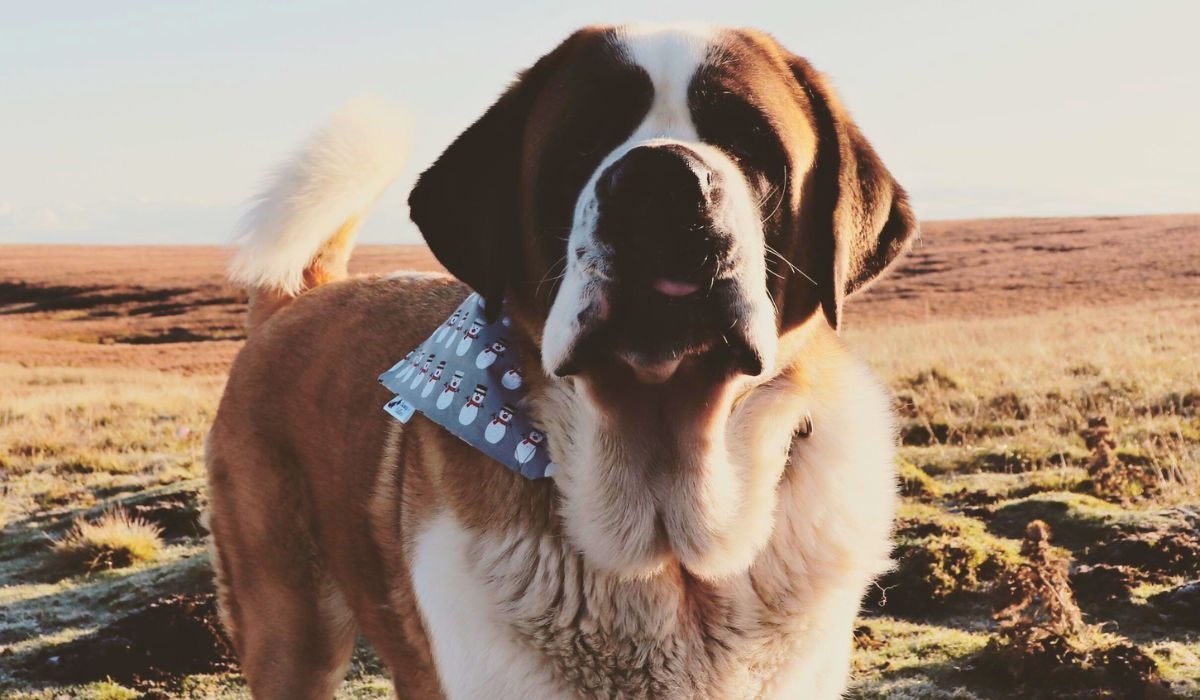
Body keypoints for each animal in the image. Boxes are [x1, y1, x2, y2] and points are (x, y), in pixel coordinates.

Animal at [208, 23, 916, 700]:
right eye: (582, 144)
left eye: (749, 145)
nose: (663, 181)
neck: (667, 559)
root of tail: (301, 297)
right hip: (290, 628)